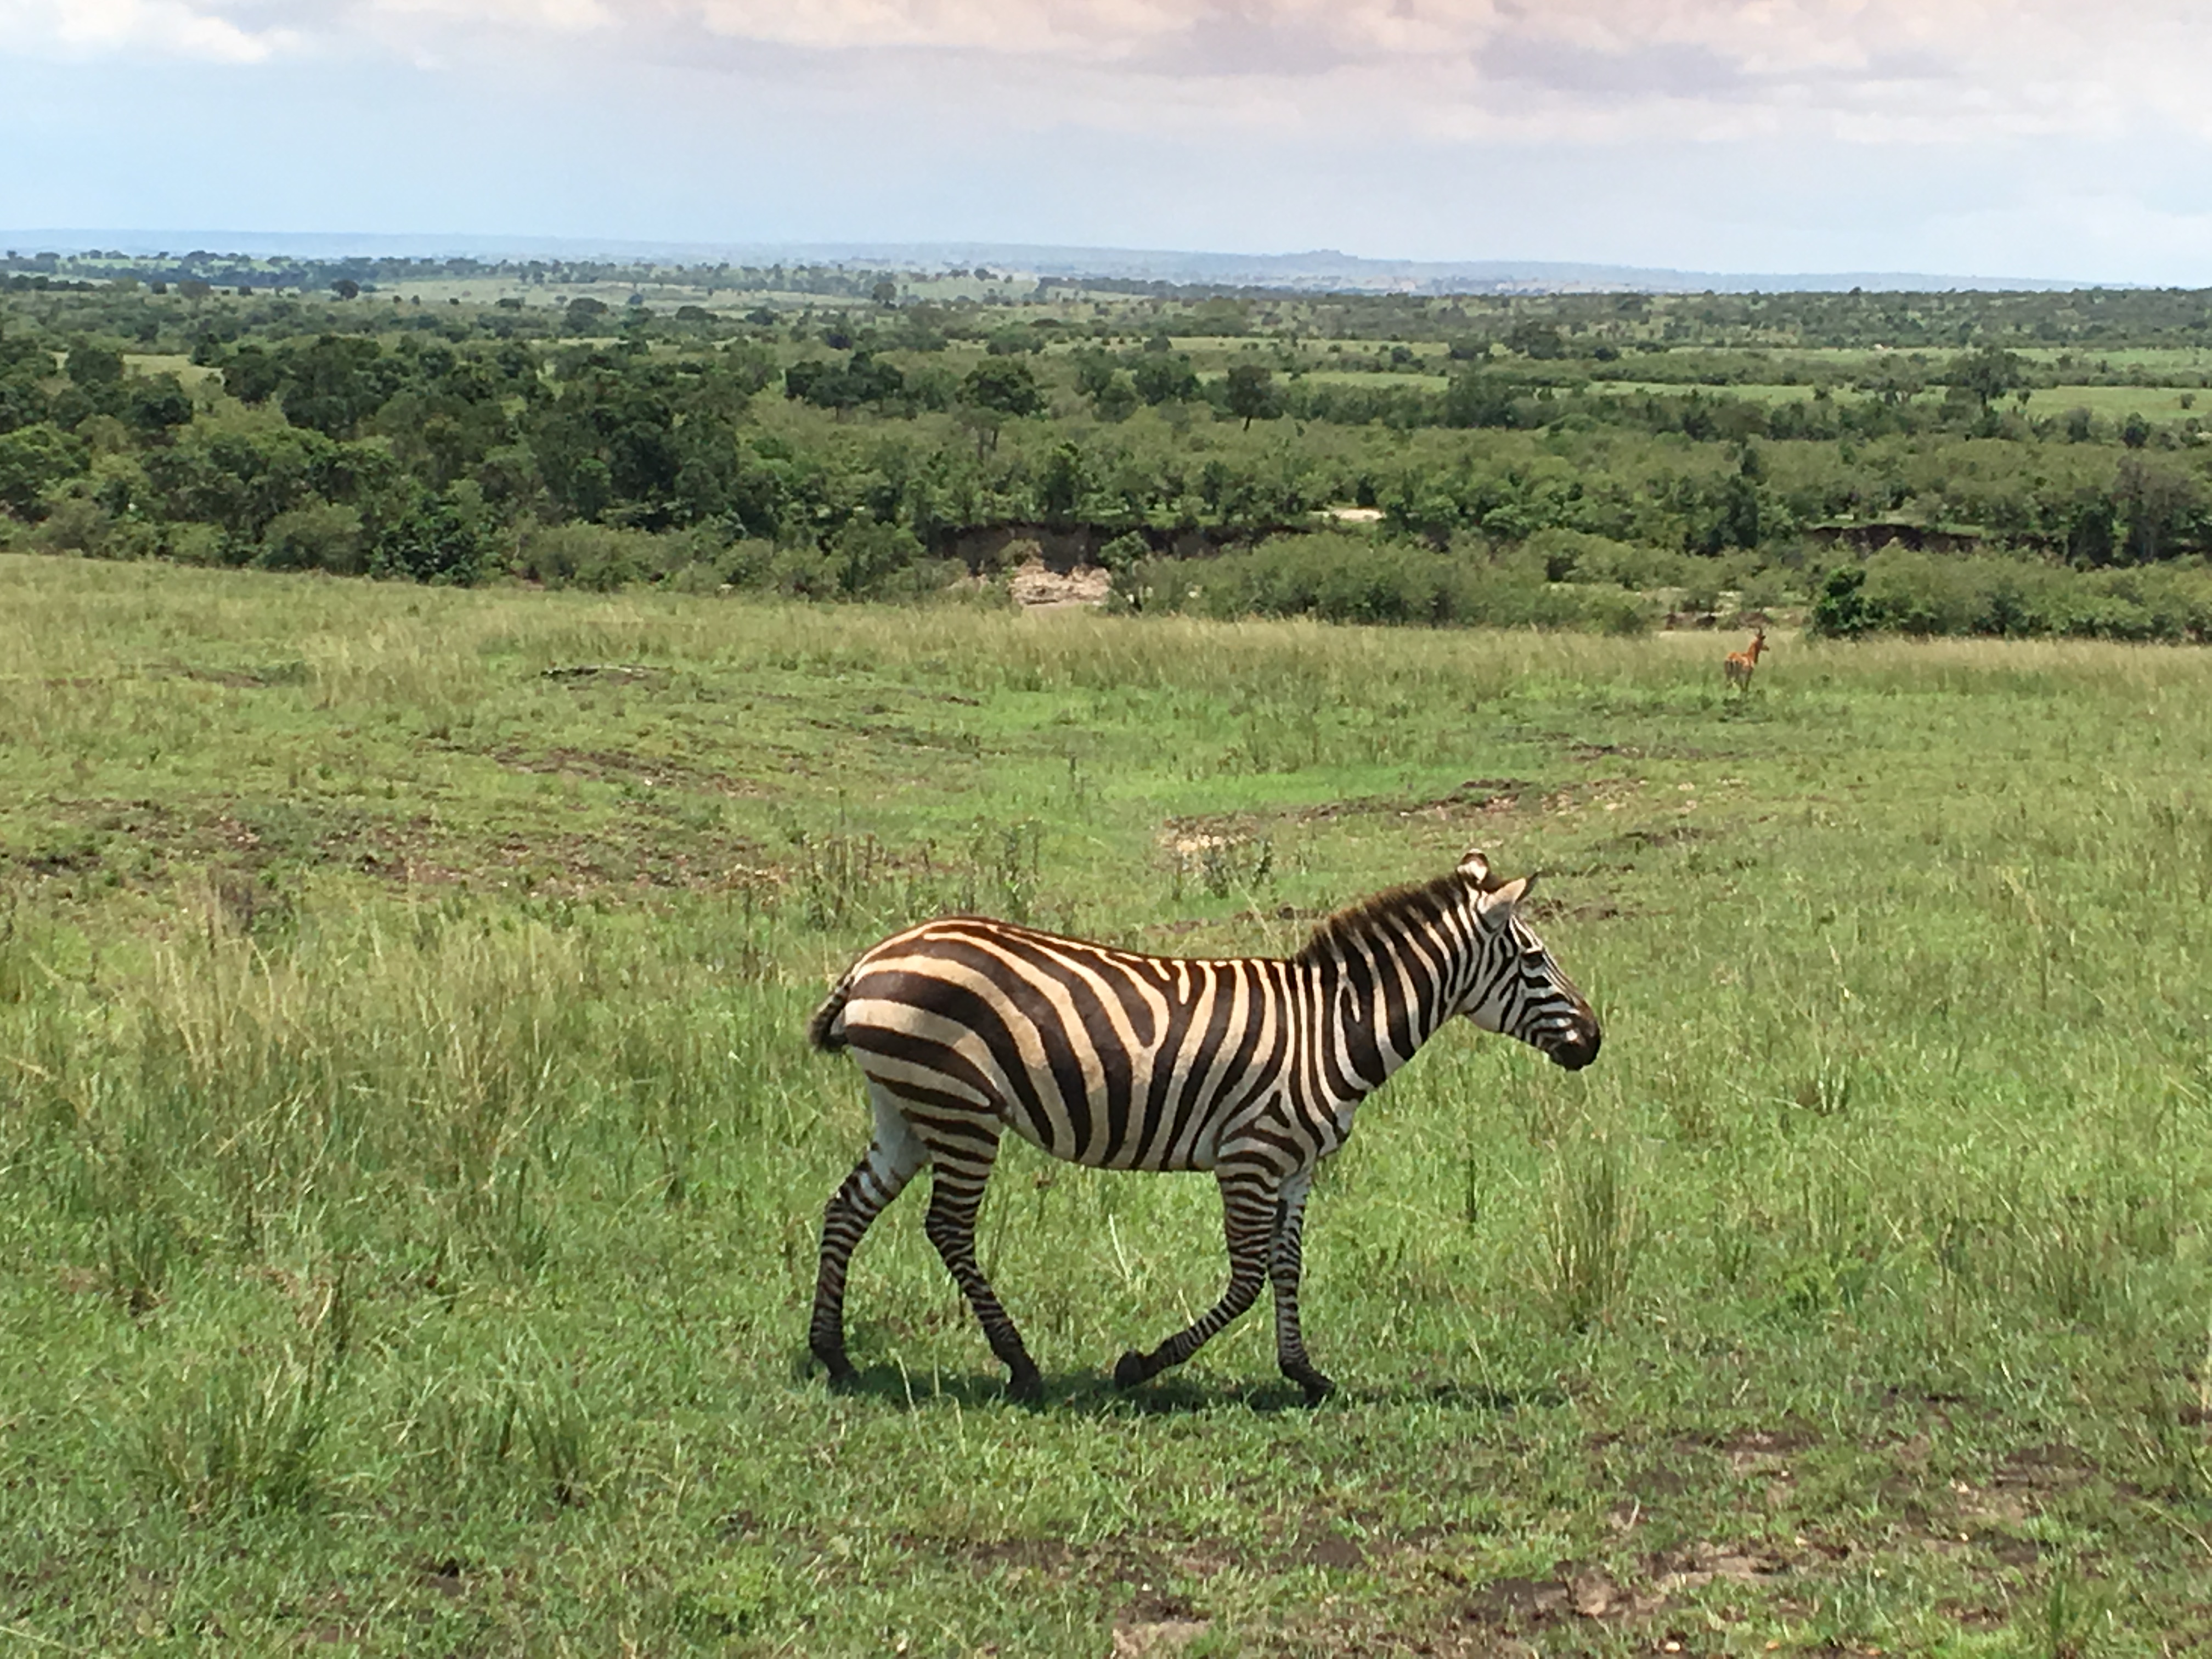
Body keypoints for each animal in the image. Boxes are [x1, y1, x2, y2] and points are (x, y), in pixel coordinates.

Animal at [804, 846, 1601, 1404]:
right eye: (1536, 961)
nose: (1593, 1041)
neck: (1332, 1029)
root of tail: (872, 960)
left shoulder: (1297, 1166)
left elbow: (1287, 1266)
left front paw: (1305, 1373)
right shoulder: (1250, 1155)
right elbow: (1247, 1278)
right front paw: (1141, 1366)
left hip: (908, 1108)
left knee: (846, 1208)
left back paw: (835, 1355)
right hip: (959, 1110)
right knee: (947, 1228)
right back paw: (1020, 1364)